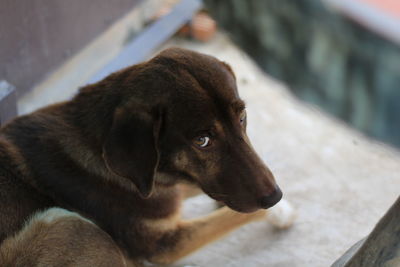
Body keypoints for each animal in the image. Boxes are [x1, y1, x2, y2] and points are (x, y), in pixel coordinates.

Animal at [0, 47, 282, 266]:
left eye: (242, 118)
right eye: (202, 141)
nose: (275, 196)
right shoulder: (164, 244)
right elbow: (235, 215)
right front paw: (281, 212)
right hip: (72, 225)